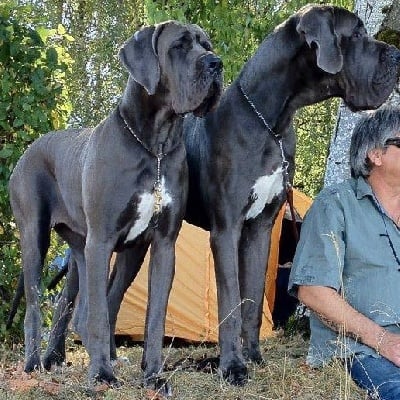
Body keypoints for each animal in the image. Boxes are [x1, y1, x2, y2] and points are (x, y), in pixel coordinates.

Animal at [8, 19, 222, 394]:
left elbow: (154, 317)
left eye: (205, 45)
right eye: (179, 46)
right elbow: (98, 315)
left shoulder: (163, 244)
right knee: (37, 305)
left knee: (77, 306)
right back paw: (34, 365)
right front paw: (101, 375)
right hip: (37, 237)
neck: (155, 146)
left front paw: (153, 376)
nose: (216, 63)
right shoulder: (102, 240)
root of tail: (28, 150)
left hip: (98, 251)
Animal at [104, 2, 400, 384]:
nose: (396, 53)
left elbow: (253, 300)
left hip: (136, 246)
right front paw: (232, 366)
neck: (270, 122)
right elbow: (231, 299)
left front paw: (254, 356)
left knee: (111, 293)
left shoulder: (261, 228)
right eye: (359, 32)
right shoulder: (226, 228)